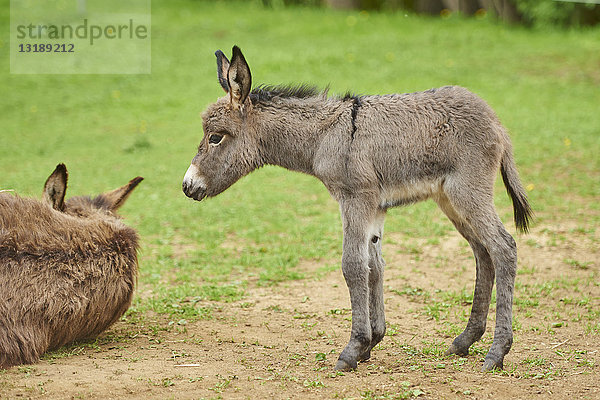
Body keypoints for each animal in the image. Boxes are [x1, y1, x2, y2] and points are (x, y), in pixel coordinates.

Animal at [182, 46, 528, 372]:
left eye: (215, 138)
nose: (187, 186)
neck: (324, 137)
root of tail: (496, 121)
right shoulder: (375, 207)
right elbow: (374, 266)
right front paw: (371, 341)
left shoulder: (355, 199)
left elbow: (352, 265)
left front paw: (353, 348)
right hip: (450, 200)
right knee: (483, 252)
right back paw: (465, 340)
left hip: (468, 191)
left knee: (503, 247)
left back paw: (497, 351)